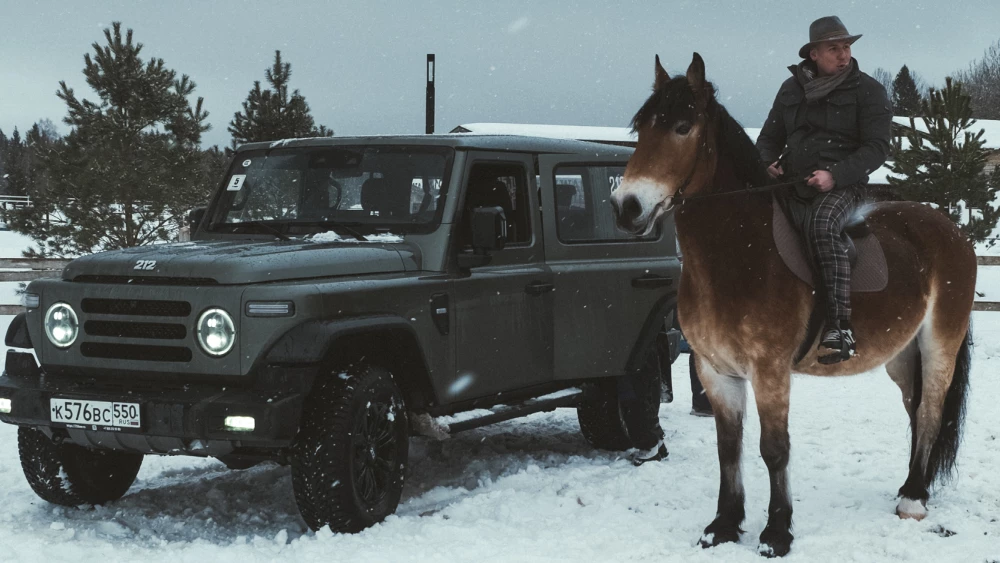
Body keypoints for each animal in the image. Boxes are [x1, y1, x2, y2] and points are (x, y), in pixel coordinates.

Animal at [610, 53, 975, 557]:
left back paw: (915, 500)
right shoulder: (715, 371)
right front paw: (723, 526)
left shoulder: (770, 370)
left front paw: (776, 532)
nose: (626, 206)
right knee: (915, 410)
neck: (738, 256)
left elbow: (774, 448)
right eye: (642, 126)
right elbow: (729, 447)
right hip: (902, 354)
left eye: (683, 126)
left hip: (940, 343)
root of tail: (950, 230)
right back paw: (909, 487)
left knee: (930, 412)